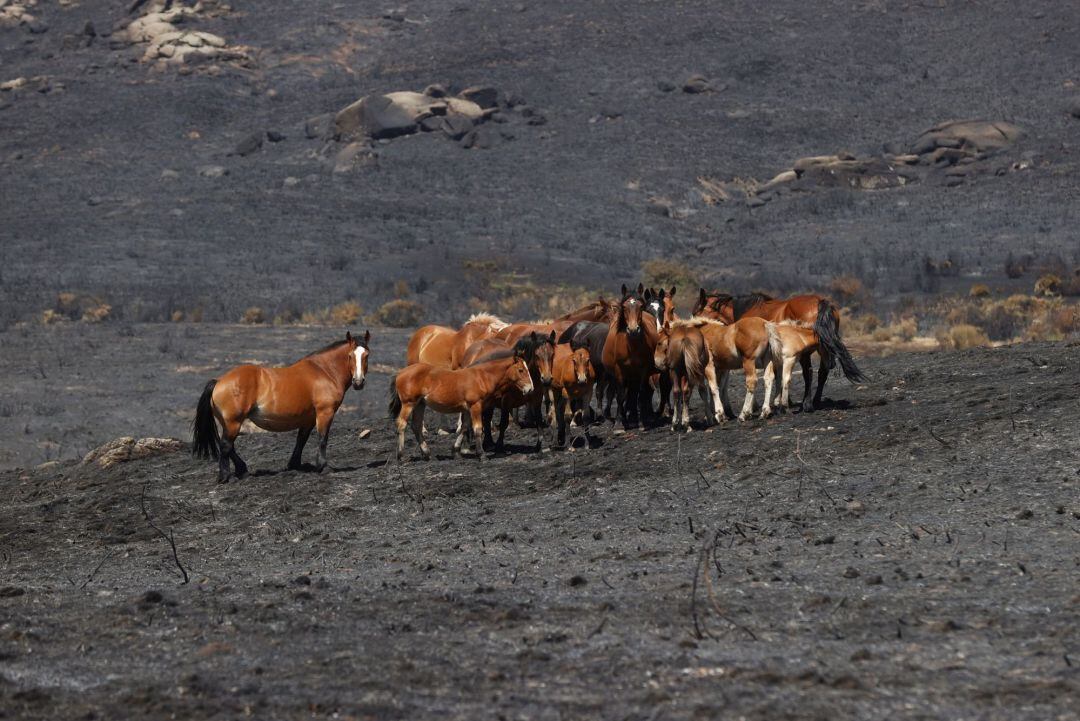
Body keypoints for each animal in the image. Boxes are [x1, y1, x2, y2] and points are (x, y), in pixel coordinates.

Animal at [196, 330, 373, 481]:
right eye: (350, 356)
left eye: (366, 355)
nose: (358, 382)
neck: (324, 371)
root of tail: (219, 381)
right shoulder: (325, 413)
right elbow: (322, 438)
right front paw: (323, 467)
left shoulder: (308, 418)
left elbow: (301, 439)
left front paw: (294, 465)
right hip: (234, 422)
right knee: (226, 445)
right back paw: (227, 477)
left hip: (228, 422)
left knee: (228, 446)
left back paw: (242, 470)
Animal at [695, 289, 864, 410]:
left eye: (696, 312)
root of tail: (820, 302)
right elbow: (779, 375)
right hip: (824, 348)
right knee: (823, 372)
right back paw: (815, 401)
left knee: (808, 373)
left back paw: (807, 404)